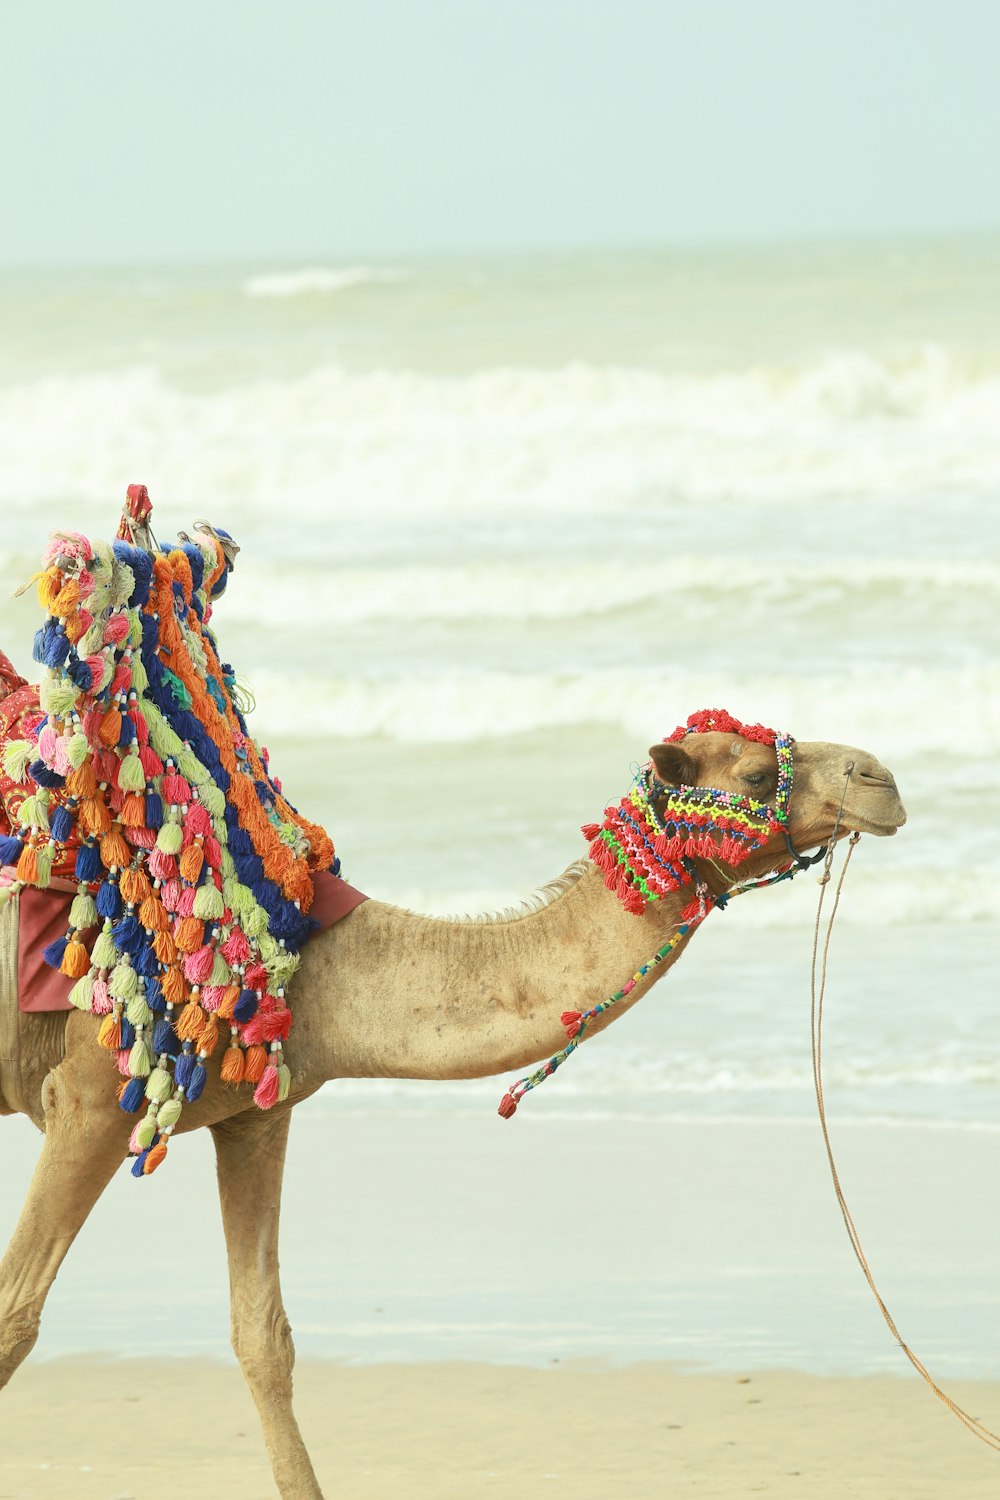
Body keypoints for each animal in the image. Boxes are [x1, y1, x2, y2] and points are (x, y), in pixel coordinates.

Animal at [0, 720, 905, 1494]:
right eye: (753, 775)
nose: (881, 779)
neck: (319, 960)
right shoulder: (89, 1097)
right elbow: (15, 1314)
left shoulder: (257, 1113)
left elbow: (262, 1336)